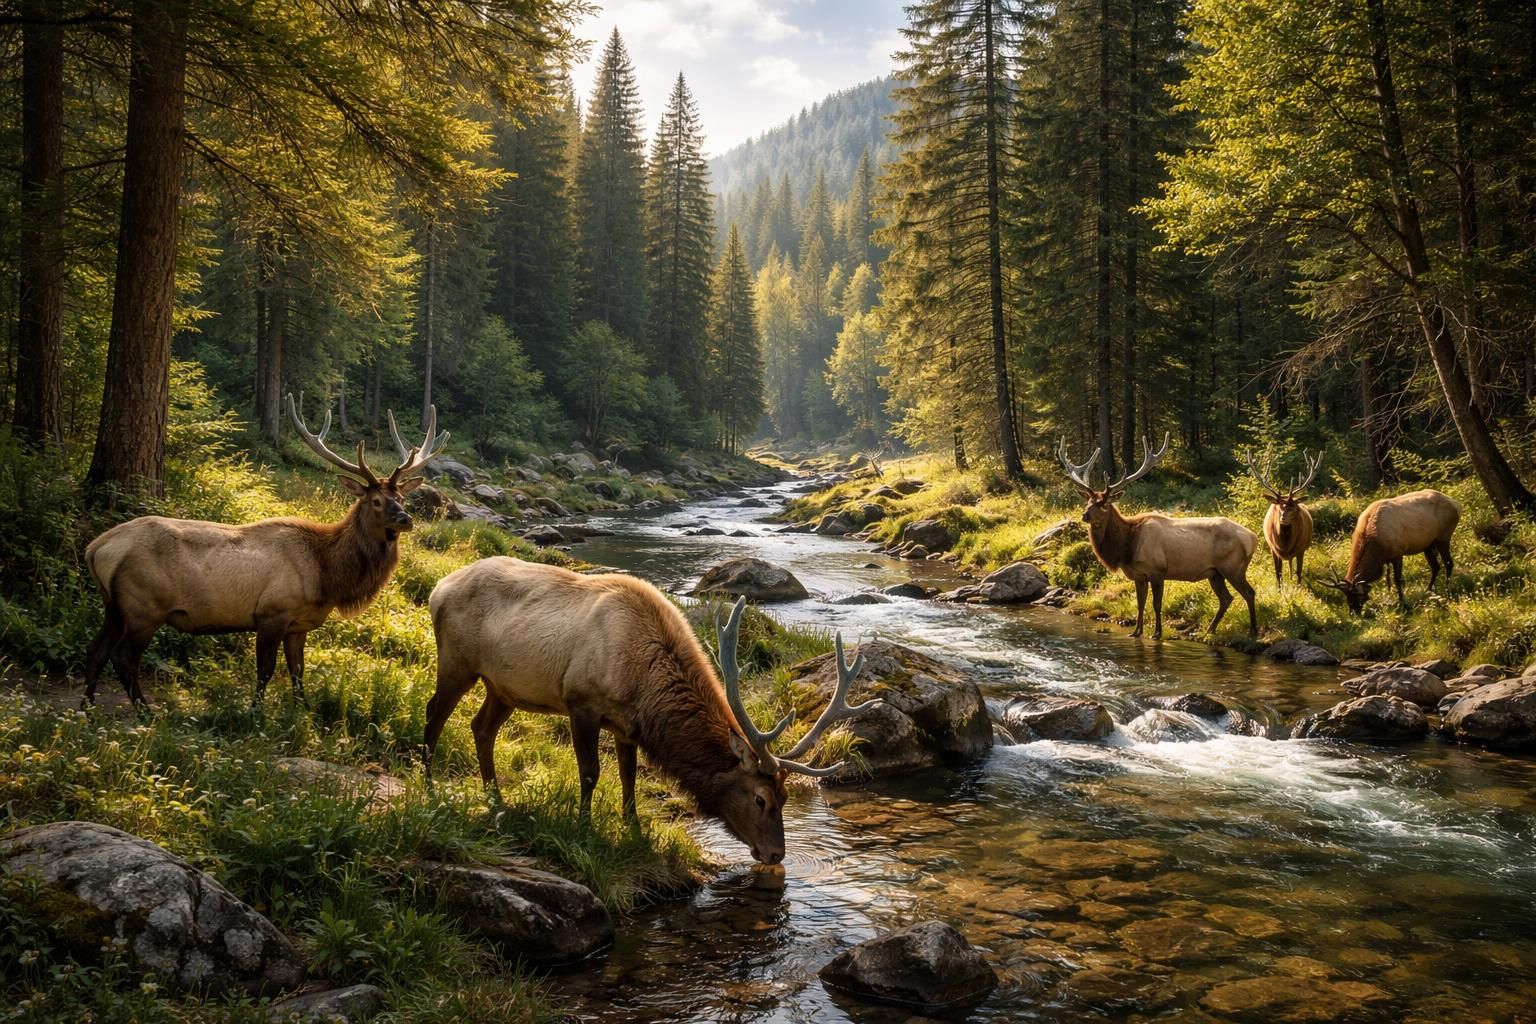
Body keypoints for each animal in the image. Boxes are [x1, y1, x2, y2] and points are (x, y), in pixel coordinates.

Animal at [81, 394, 448, 708]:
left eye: (401, 497)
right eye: (375, 501)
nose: (406, 519)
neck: (327, 575)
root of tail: (97, 547)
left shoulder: (299, 624)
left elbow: (298, 672)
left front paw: (303, 711)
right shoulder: (272, 612)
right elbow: (266, 670)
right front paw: (255, 713)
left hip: (114, 606)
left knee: (95, 649)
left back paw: (87, 707)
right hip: (144, 606)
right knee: (123, 657)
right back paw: (145, 711)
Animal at [423, 560, 878, 865]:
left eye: (786, 798)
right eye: (760, 798)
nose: (775, 855)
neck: (645, 686)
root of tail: (437, 589)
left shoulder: (626, 726)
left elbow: (628, 777)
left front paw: (635, 829)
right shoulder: (581, 701)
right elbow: (590, 773)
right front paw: (585, 828)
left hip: (503, 687)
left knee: (480, 728)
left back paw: (495, 798)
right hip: (457, 662)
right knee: (434, 715)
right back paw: (429, 789)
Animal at [1058, 433, 1259, 640]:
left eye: (1104, 504)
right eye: (1088, 501)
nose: (1085, 515)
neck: (1126, 547)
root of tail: (1253, 538)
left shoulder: (1157, 570)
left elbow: (1156, 604)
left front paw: (1157, 633)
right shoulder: (1138, 575)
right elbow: (1140, 604)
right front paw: (1136, 632)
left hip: (1233, 567)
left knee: (1249, 593)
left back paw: (1252, 631)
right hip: (1215, 573)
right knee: (1227, 598)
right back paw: (1209, 631)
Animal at [1246, 449, 1322, 586]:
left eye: (1293, 507)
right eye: (1279, 506)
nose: (1283, 518)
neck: (1286, 546)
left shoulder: (1301, 549)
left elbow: (1299, 571)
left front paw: (1299, 587)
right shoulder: (1273, 549)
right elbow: (1278, 572)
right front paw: (1279, 588)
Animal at [1320, 489, 1460, 613]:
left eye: (1356, 595)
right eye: (1347, 597)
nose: (1353, 612)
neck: (1378, 548)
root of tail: (1456, 505)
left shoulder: (1398, 553)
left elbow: (1398, 580)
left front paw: (1403, 604)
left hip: (1443, 537)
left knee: (1448, 563)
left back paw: (1448, 592)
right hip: (1428, 545)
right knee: (1435, 566)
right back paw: (1428, 590)